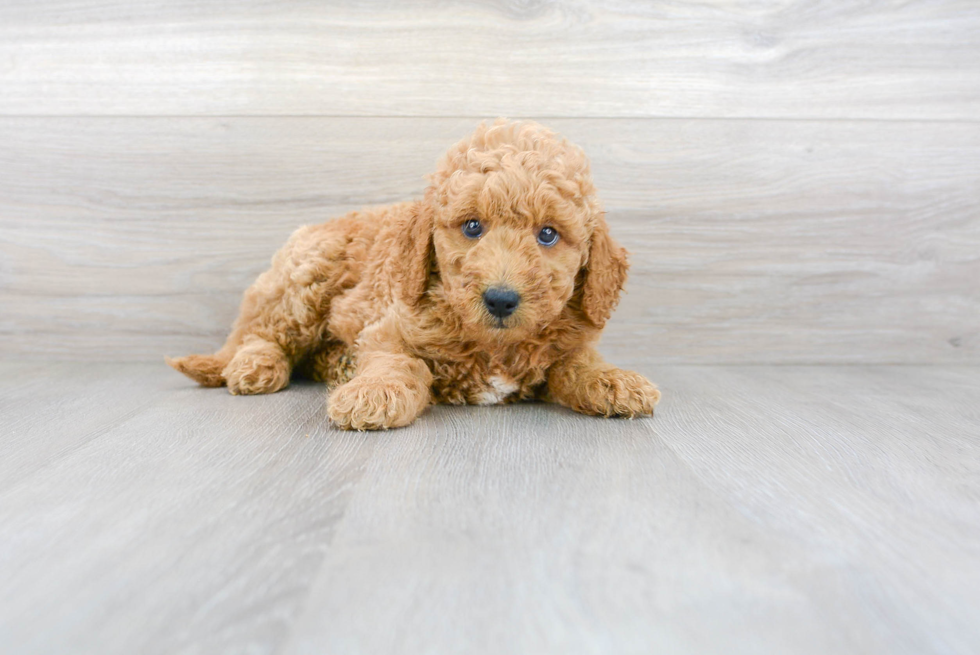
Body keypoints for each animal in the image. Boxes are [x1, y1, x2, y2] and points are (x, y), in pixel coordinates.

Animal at [168, 119, 664, 430]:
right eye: (472, 227)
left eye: (548, 234)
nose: (501, 299)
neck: (494, 345)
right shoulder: (390, 325)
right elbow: (397, 362)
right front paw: (373, 393)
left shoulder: (568, 337)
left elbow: (578, 362)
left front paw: (614, 381)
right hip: (306, 277)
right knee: (263, 334)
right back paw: (256, 366)